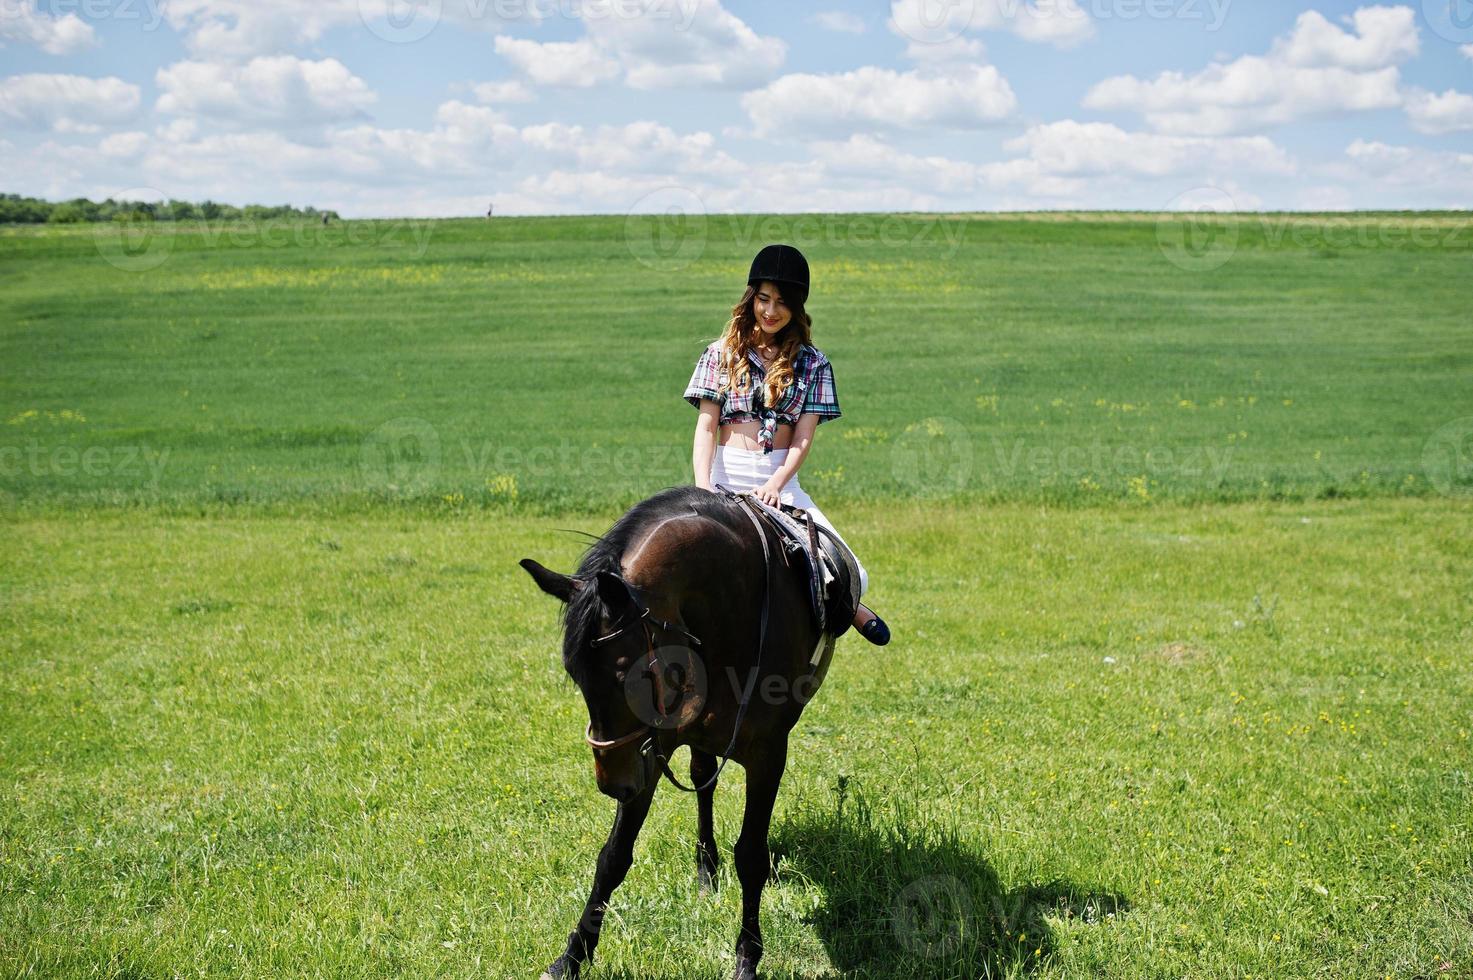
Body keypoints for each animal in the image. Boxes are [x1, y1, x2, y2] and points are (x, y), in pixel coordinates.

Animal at [524, 483, 836, 978]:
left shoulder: (768, 754)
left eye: (626, 673)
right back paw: (706, 867)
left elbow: (751, 856)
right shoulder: (648, 749)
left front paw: (748, 956)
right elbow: (613, 856)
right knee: (703, 780)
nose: (612, 784)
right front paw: (572, 956)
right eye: (574, 673)